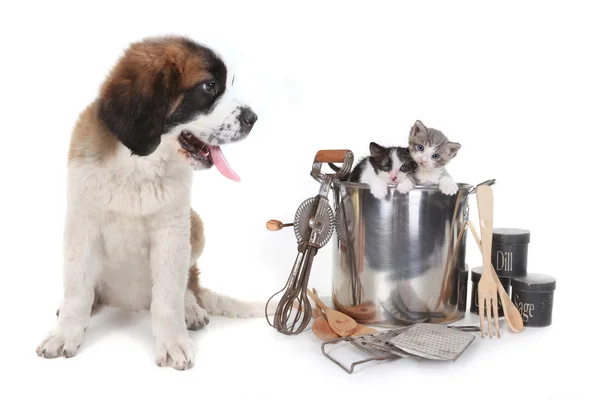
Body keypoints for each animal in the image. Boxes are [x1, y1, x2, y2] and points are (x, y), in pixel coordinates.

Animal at [34, 36, 264, 370]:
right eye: (209, 87)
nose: (253, 118)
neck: (138, 164)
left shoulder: (173, 230)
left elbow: (168, 294)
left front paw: (173, 341)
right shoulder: (82, 225)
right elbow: (77, 288)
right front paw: (65, 333)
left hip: (196, 225)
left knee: (187, 285)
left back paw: (190, 308)